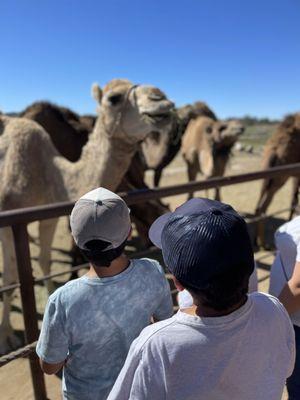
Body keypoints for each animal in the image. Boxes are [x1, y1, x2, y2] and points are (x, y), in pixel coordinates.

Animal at [0, 79, 173, 354]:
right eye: (113, 98)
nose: (160, 99)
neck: (48, 172)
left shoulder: (48, 217)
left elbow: (45, 262)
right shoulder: (10, 219)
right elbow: (11, 274)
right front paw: (6, 336)